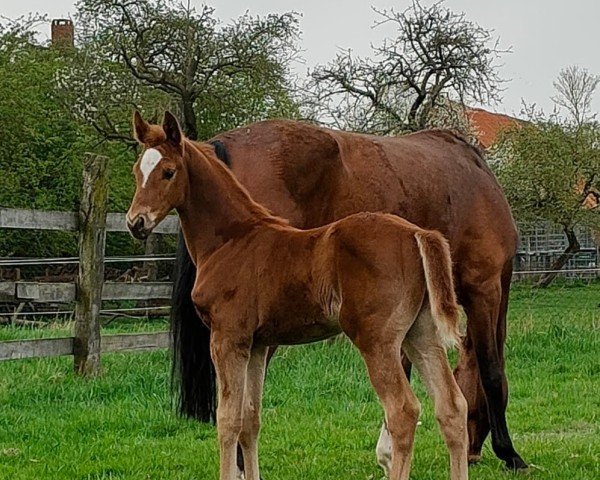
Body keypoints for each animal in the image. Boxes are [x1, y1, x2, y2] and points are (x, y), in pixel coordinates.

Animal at [126, 112, 468, 480]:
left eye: (168, 171)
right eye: (136, 171)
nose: (136, 222)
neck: (231, 240)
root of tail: (417, 234)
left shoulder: (228, 338)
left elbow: (227, 421)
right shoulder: (257, 344)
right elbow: (250, 419)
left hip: (377, 339)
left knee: (403, 411)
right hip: (420, 333)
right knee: (451, 406)